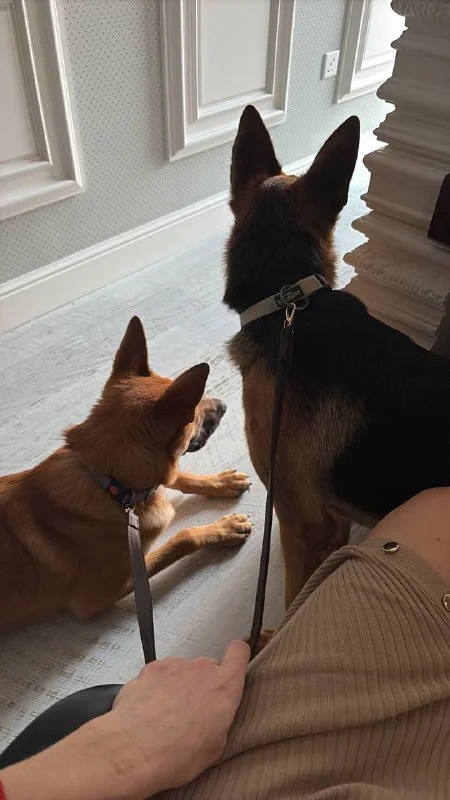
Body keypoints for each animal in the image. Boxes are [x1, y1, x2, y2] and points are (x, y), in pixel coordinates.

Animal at [0, 317, 251, 633]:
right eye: (194, 412)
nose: (225, 405)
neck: (108, 483)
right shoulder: (108, 591)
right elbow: (182, 538)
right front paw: (224, 529)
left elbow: (177, 477)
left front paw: (219, 482)